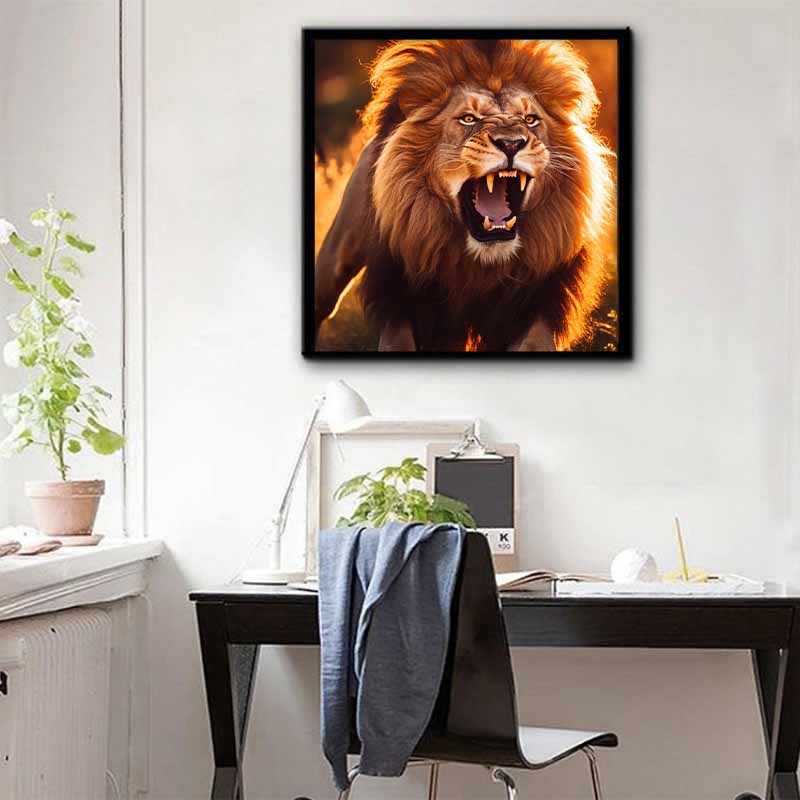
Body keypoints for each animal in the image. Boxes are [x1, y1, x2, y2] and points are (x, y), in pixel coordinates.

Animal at [314, 39, 614, 352]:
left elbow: (534, 341)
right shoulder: (402, 298)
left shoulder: (538, 301)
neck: (481, 262)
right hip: (336, 260)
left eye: (531, 120)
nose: (511, 143)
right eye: (469, 119)